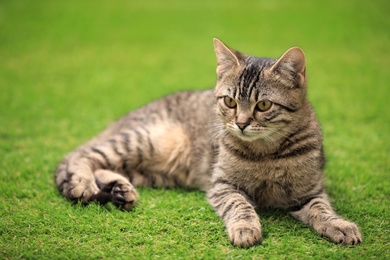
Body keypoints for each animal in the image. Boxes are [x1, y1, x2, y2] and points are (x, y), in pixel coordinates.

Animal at [54, 37, 362, 247]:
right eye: (230, 101)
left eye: (263, 105)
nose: (241, 123)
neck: (267, 153)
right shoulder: (222, 184)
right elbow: (239, 205)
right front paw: (245, 227)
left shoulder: (309, 191)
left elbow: (322, 209)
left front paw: (339, 225)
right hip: (147, 141)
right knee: (80, 155)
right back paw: (83, 183)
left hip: (152, 171)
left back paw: (119, 190)